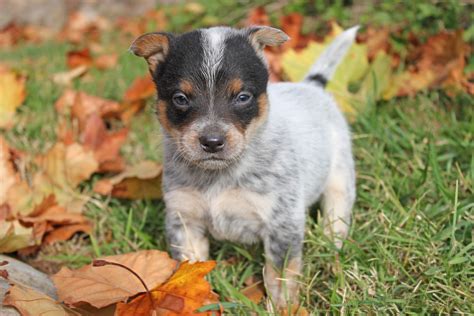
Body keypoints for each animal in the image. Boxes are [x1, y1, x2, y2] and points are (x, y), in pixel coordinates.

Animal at [130, 25, 356, 308]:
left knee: (336, 213)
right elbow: (190, 270)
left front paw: (282, 308)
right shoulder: (184, 220)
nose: (212, 141)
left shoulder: (282, 222)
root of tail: (310, 86)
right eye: (180, 98)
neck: (219, 177)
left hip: (340, 175)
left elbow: (279, 275)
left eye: (242, 97)